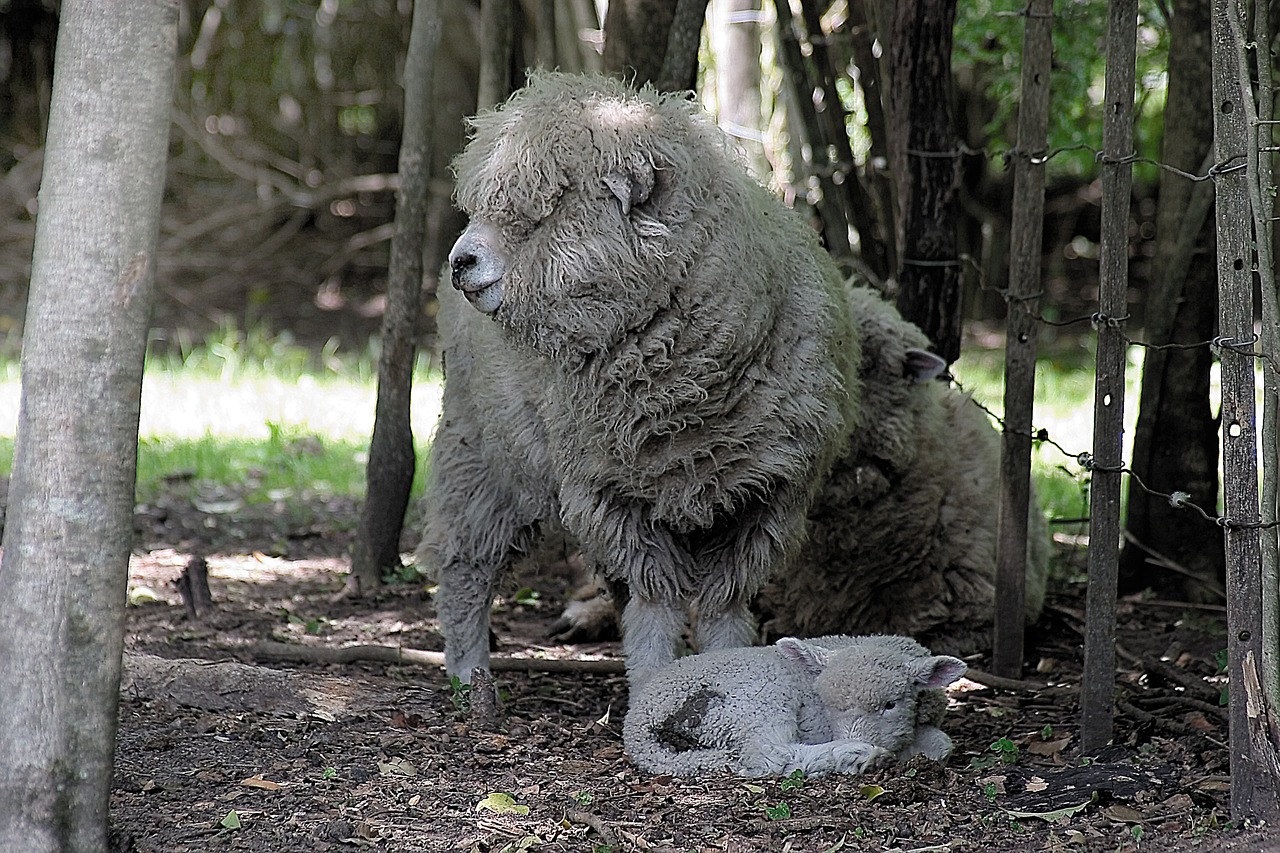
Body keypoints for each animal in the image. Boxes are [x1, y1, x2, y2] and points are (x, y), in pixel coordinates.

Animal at [422, 69, 1049, 686]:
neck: (685, 397)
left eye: (550, 205)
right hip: (479, 450)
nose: (460, 262)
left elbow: (723, 608)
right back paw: (469, 677)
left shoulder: (761, 499)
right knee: (463, 568)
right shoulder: (620, 497)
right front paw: (653, 688)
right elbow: (656, 609)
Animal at [622, 630, 967, 778]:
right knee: (771, 755)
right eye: (826, 705)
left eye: (890, 705)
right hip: (758, 697)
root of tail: (637, 726)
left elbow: (941, 745)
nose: (856, 739)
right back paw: (854, 756)